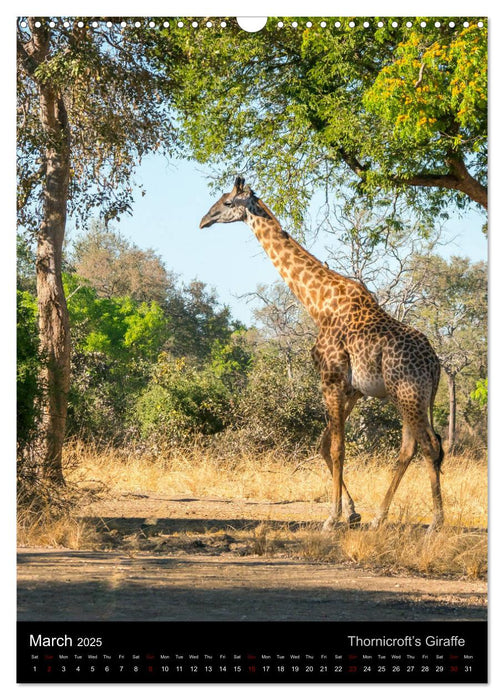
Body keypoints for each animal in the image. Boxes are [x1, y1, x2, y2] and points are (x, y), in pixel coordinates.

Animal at [201, 176, 444, 532]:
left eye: (227, 203)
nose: (204, 221)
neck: (318, 303)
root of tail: (435, 364)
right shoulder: (351, 388)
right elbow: (324, 446)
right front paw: (352, 512)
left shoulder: (331, 379)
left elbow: (339, 448)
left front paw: (332, 518)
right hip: (411, 396)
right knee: (411, 446)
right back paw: (379, 517)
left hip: (408, 392)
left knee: (428, 445)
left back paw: (435, 522)